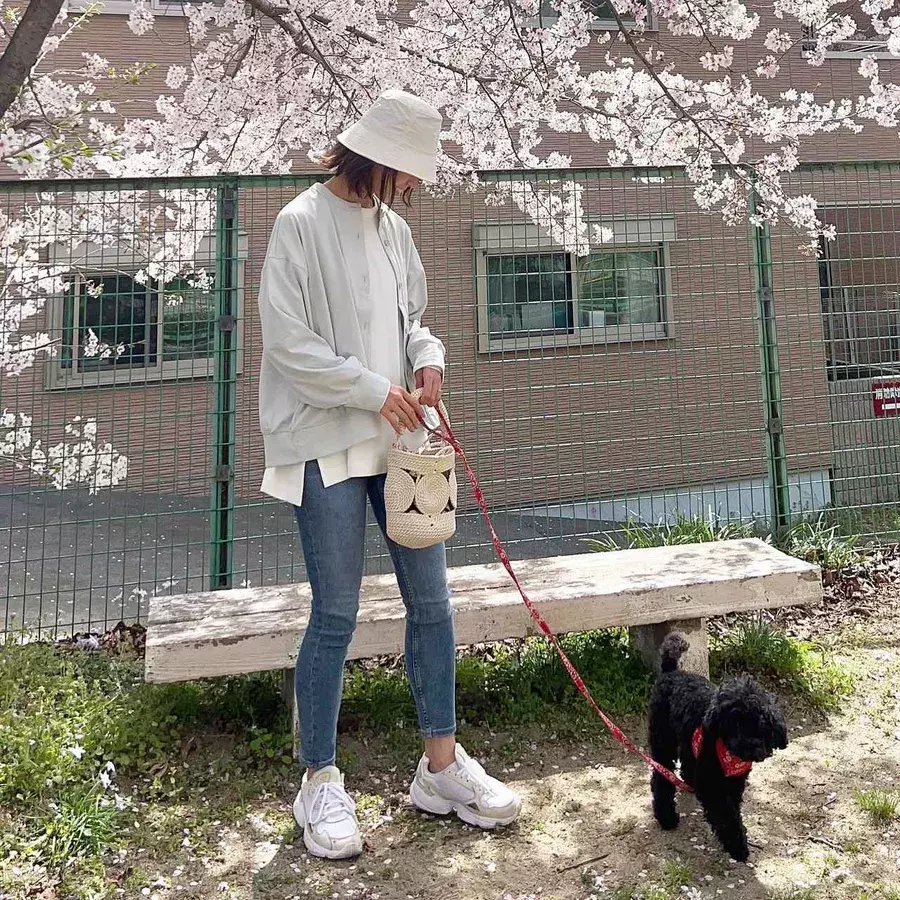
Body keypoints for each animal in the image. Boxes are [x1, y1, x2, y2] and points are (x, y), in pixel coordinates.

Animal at [647, 632, 788, 861]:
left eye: (761, 723)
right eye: (734, 723)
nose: (751, 748)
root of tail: (671, 671)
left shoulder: (734, 781)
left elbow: (733, 806)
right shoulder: (712, 786)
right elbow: (726, 816)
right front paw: (738, 846)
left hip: (685, 740)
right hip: (662, 738)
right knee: (661, 776)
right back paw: (666, 817)